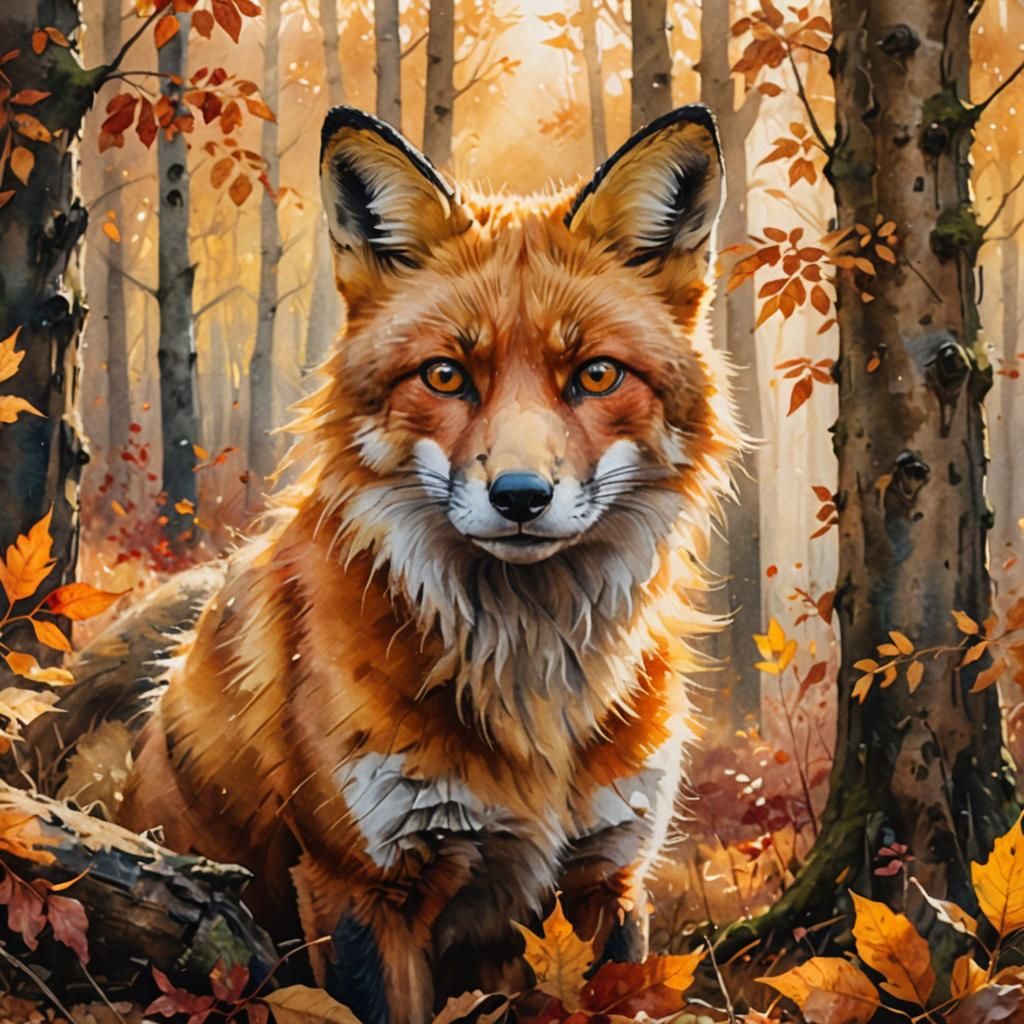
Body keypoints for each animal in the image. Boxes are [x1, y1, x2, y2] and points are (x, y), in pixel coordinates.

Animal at [29, 105, 741, 1024]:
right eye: (445, 375)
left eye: (594, 375)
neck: (529, 693)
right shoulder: (362, 885)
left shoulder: (609, 876)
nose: (520, 496)